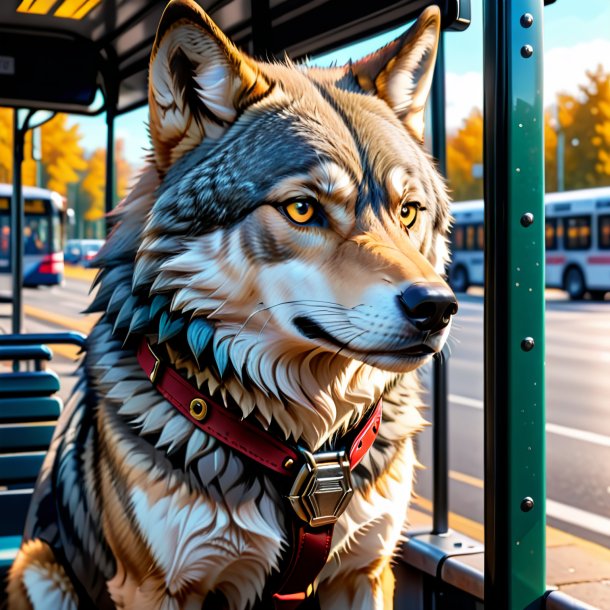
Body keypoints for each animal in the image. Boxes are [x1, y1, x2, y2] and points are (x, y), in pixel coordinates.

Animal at [7, 1, 456, 608]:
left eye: (407, 211)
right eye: (301, 209)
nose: (437, 306)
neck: (307, 453)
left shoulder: (366, 571)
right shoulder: (154, 588)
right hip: (37, 564)